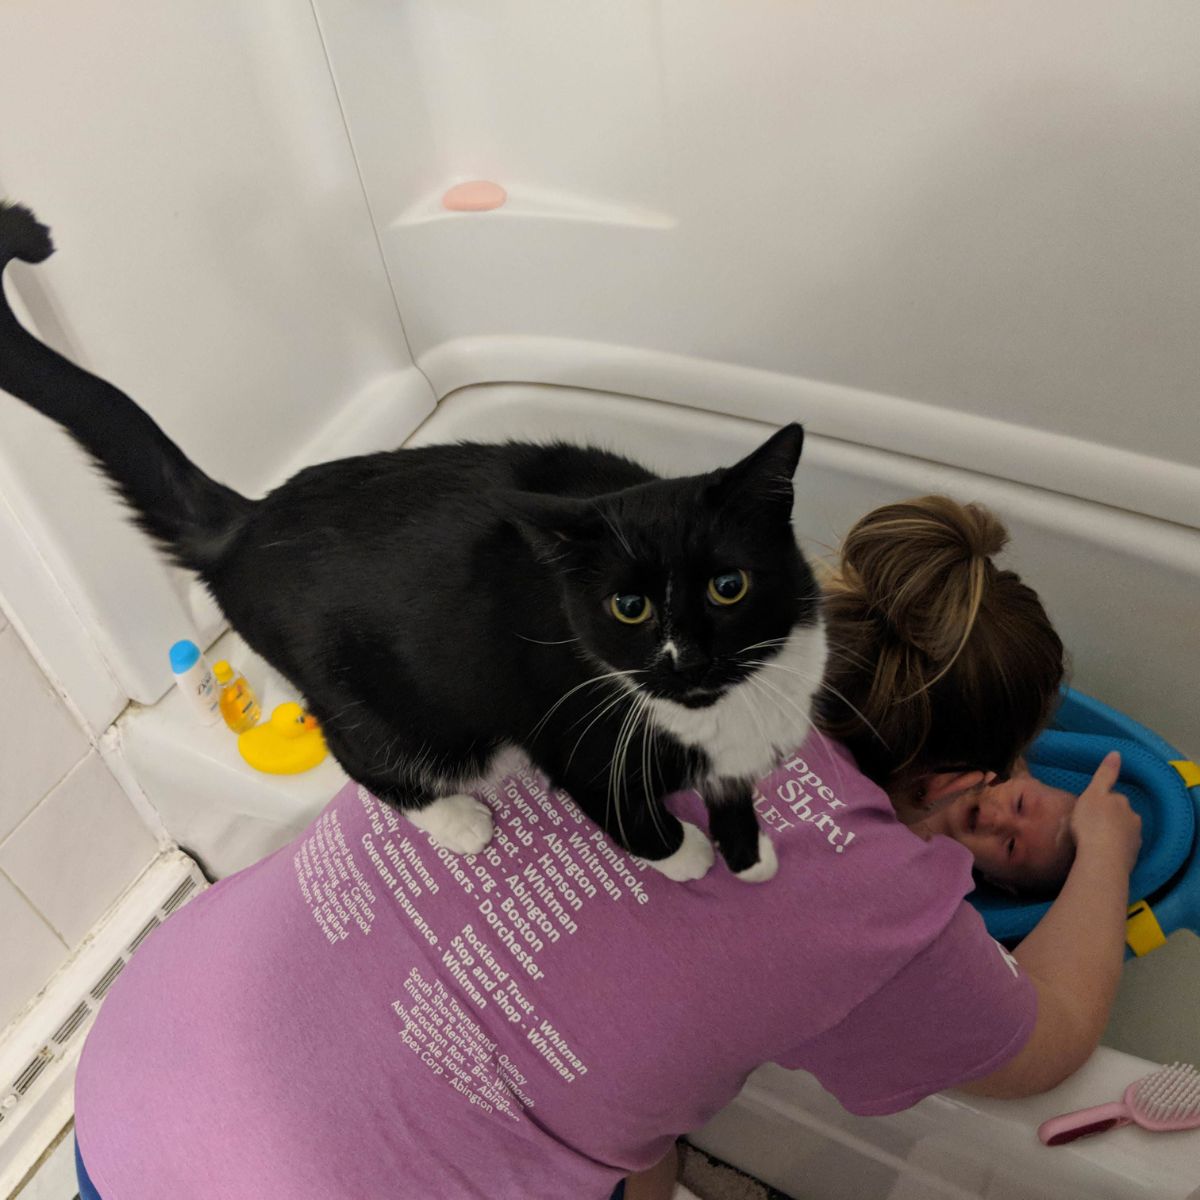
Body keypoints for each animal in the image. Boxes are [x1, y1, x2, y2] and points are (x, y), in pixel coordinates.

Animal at [0, 204, 825, 883]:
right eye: (628, 607)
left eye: (729, 586)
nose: (685, 661)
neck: (721, 710)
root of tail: (249, 520)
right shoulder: (572, 729)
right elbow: (632, 816)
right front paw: (690, 857)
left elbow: (734, 790)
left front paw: (750, 852)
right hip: (380, 695)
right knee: (364, 752)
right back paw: (458, 821)